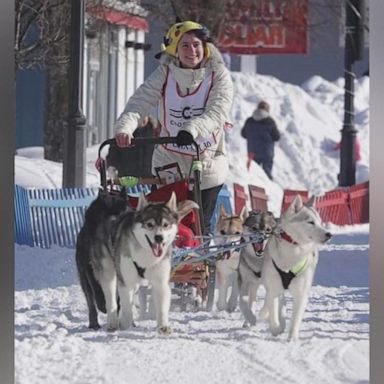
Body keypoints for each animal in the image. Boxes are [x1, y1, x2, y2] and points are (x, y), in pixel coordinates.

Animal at [75, 188, 127, 328]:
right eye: (103, 213)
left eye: (123, 212)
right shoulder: (89, 267)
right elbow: (96, 289)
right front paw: (103, 305)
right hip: (83, 278)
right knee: (90, 300)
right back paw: (94, 322)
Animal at [107, 194, 200, 334]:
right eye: (149, 224)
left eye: (166, 225)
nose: (159, 237)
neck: (146, 257)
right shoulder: (126, 283)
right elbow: (127, 308)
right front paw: (127, 327)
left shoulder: (161, 282)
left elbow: (161, 306)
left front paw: (163, 326)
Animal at [260, 196, 332, 340]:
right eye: (311, 222)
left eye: (320, 222)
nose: (329, 234)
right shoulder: (273, 289)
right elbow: (273, 315)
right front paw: (276, 329)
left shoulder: (301, 293)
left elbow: (295, 320)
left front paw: (291, 339)